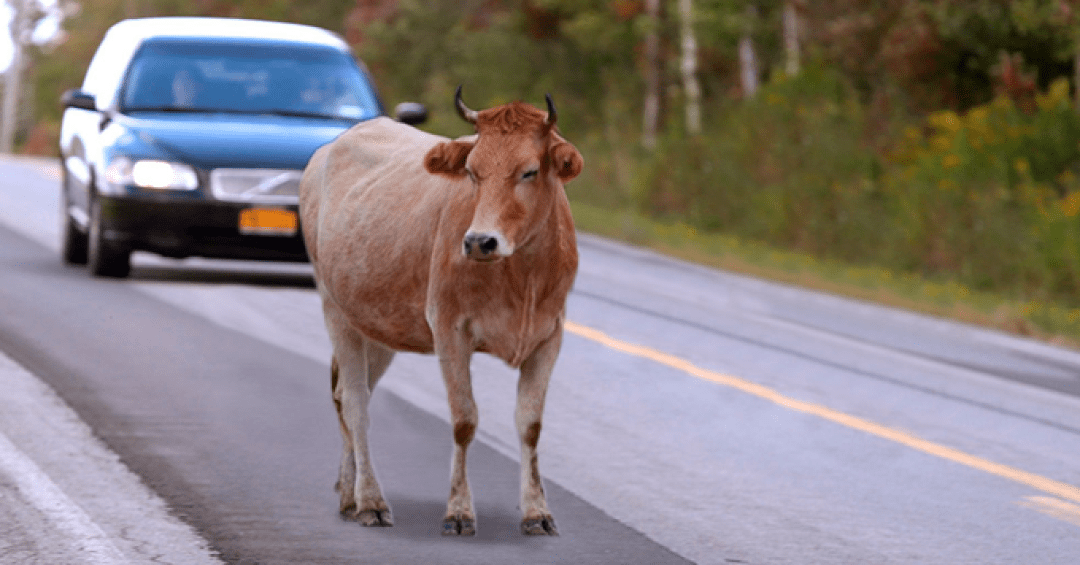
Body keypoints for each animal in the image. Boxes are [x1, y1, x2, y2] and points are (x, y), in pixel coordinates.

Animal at [295, 86, 583, 537]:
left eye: (530, 171)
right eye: (472, 171)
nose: (480, 241)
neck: (523, 277)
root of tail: (331, 148)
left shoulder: (549, 335)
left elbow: (530, 425)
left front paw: (537, 512)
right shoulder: (449, 329)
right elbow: (465, 420)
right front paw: (459, 512)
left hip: (378, 324)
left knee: (348, 395)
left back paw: (349, 495)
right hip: (335, 308)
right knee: (356, 402)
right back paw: (371, 501)